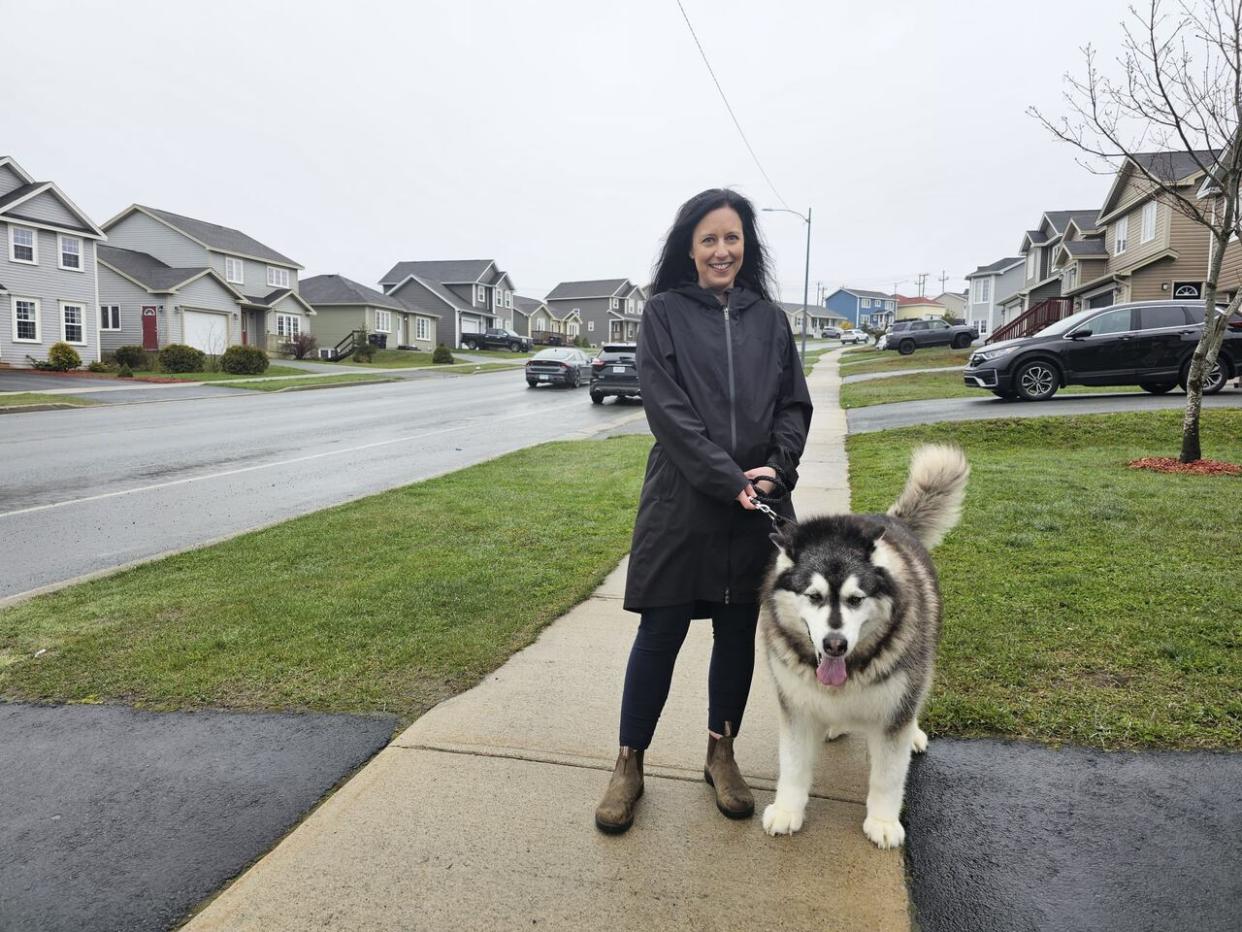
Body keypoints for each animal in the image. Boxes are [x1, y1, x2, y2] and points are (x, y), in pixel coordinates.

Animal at [755, 447, 968, 854]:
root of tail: (891, 520)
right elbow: (793, 764)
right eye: (814, 596)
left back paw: (914, 735)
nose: (834, 644)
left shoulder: (894, 711)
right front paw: (788, 810)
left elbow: (887, 776)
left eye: (856, 599)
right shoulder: (796, 704)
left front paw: (883, 821)